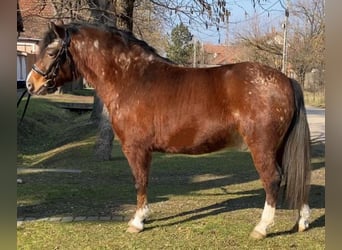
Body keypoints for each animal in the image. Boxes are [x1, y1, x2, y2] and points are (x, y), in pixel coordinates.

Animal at [25, 22, 312, 238]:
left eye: (51, 52)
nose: (30, 84)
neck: (131, 78)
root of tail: (286, 79)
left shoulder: (136, 148)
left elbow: (140, 181)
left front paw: (137, 221)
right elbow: (144, 180)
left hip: (262, 147)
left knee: (272, 179)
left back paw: (262, 228)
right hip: (279, 146)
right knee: (295, 175)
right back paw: (302, 220)